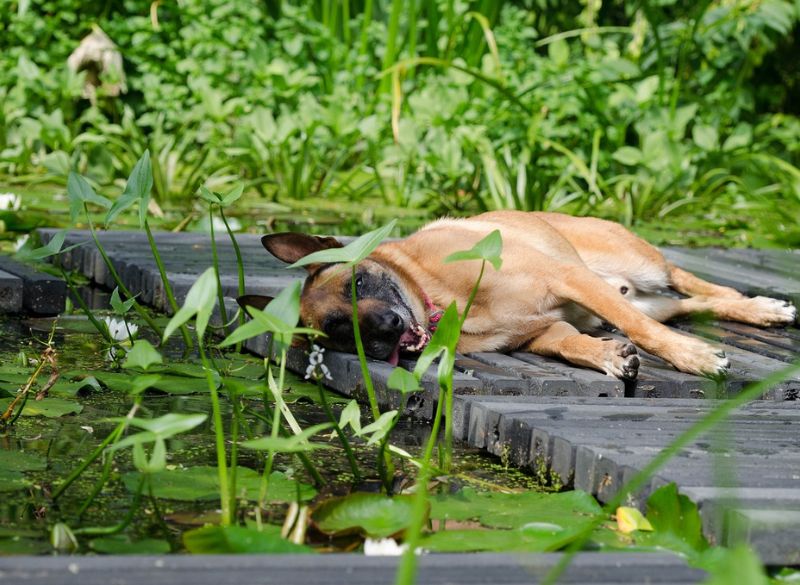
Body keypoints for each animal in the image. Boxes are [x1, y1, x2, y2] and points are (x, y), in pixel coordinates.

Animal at [236, 210, 792, 378]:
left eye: (357, 284)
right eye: (336, 331)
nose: (384, 332)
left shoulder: (567, 279)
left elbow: (641, 331)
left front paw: (693, 358)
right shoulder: (542, 331)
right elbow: (572, 344)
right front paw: (607, 356)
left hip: (643, 267)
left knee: (691, 283)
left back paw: (761, 306)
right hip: (648, 295)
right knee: (690, 304)